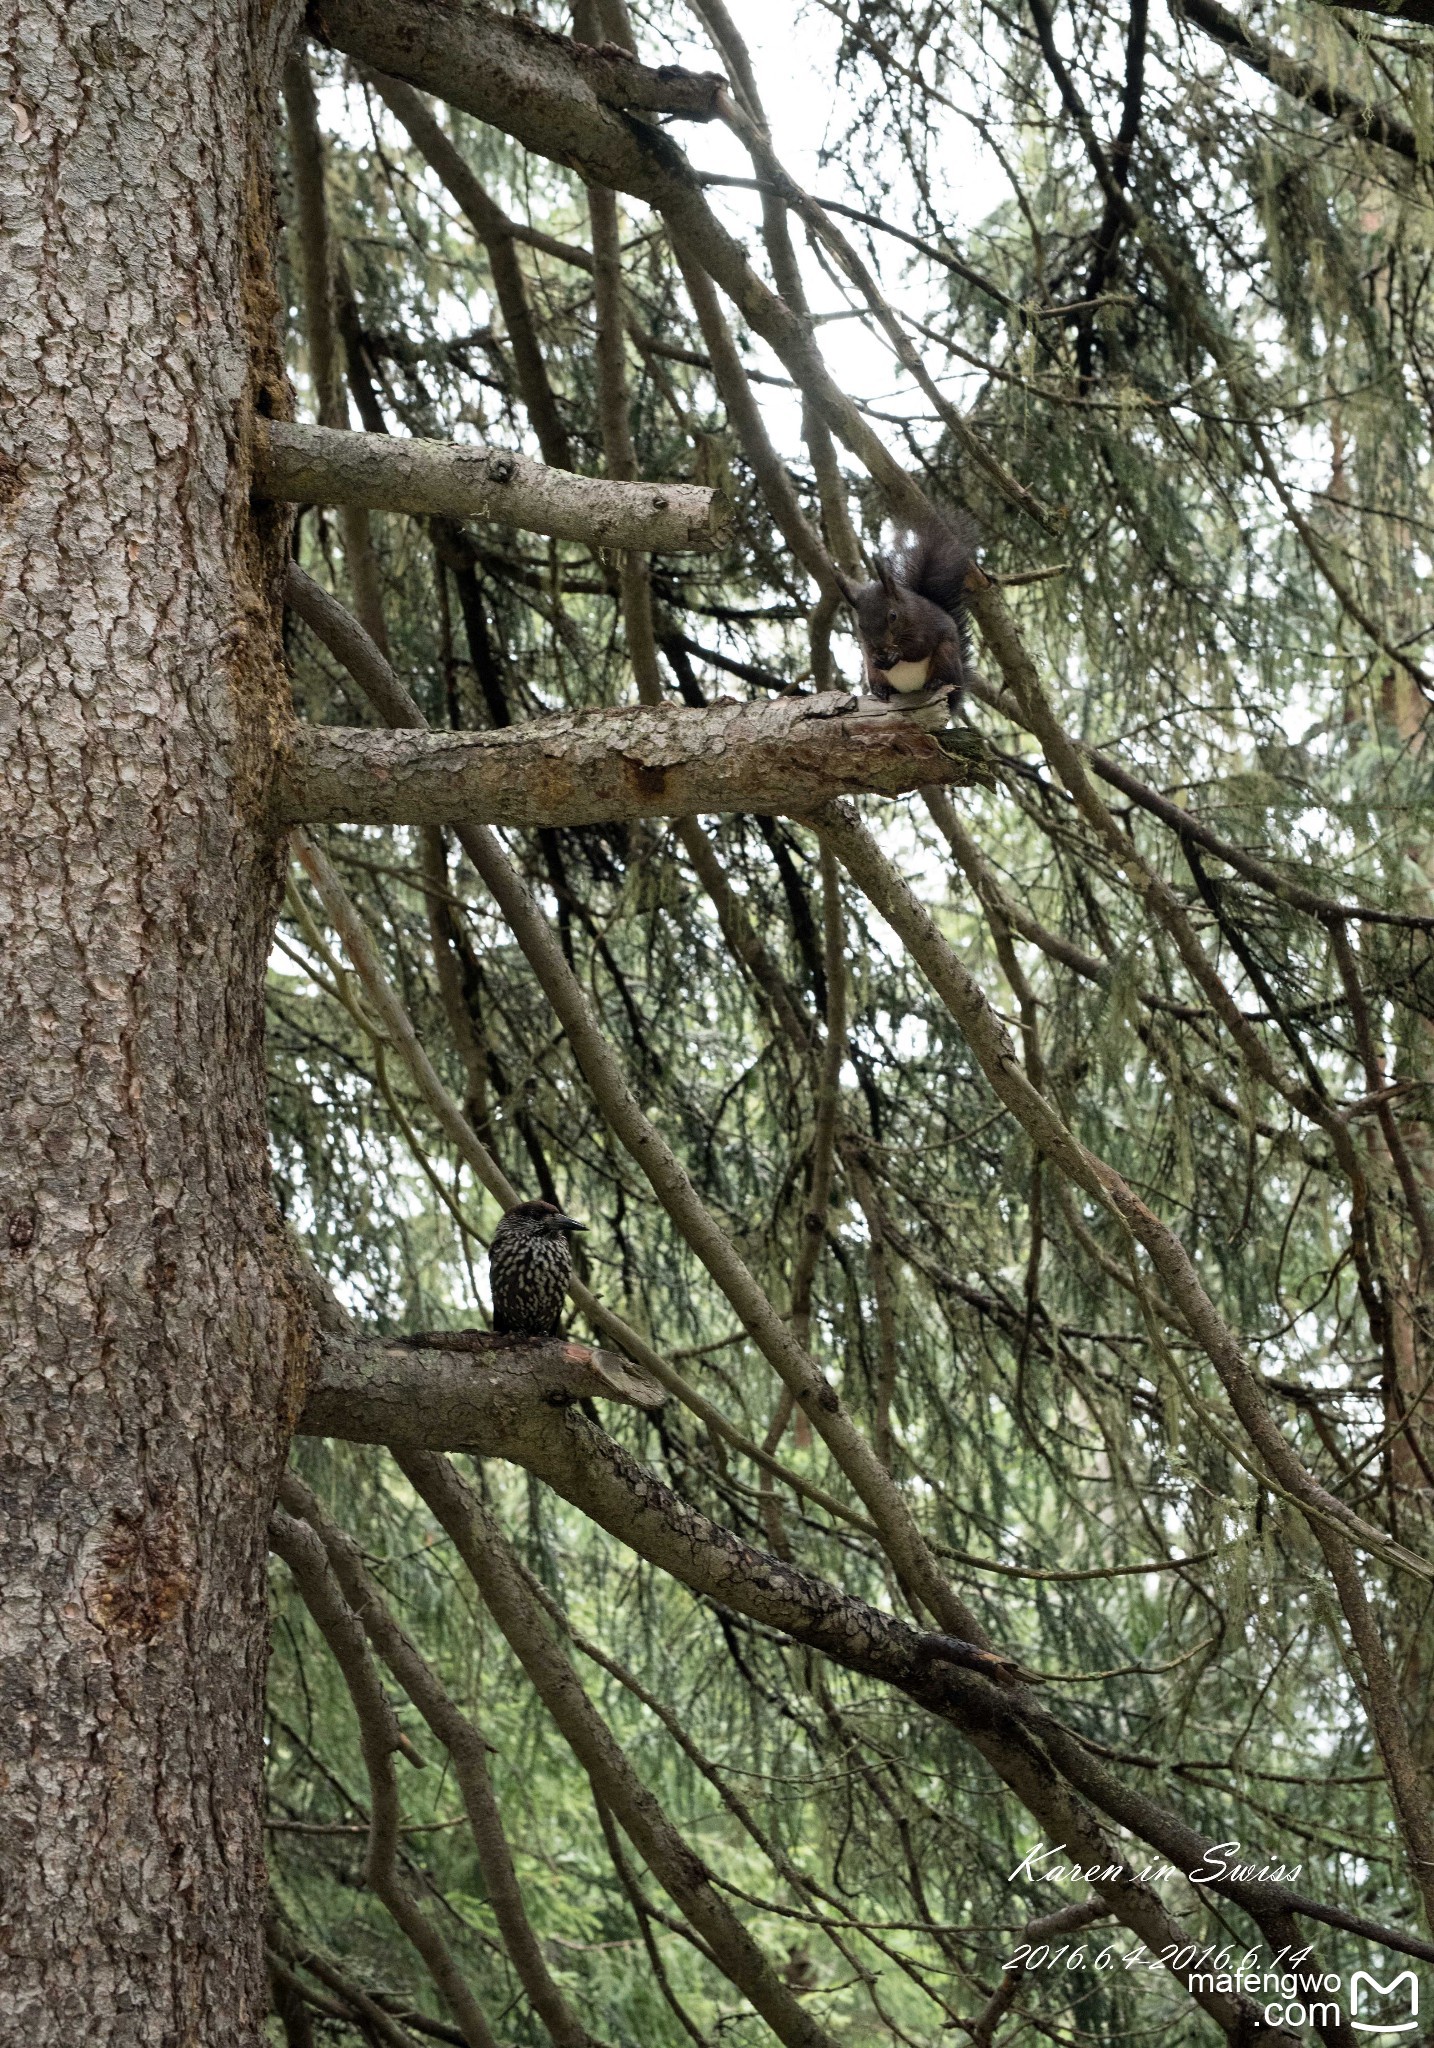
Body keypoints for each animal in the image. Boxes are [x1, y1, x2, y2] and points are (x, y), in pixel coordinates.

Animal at [844, 512, 979, 704]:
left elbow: (919, 647)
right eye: (860, 625)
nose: (881, 645)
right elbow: (869, 652)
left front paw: (897, 654)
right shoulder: (867, 644)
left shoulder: (925, 626)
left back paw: (936, 683)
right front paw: (877, 657)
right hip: (875, 673)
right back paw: (881, 689)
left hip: (946, 656)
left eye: (893, 616)